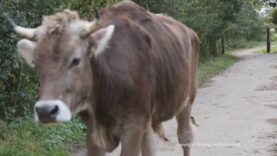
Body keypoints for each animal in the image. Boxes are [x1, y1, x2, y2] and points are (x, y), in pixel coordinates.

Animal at [9, 0, 198, 155]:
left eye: (76, 60)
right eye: (36, 64)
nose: (45, 111)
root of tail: (189, 30)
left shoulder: (133, 124)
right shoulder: (94, 132)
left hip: (186, 100)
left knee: (185, 136)